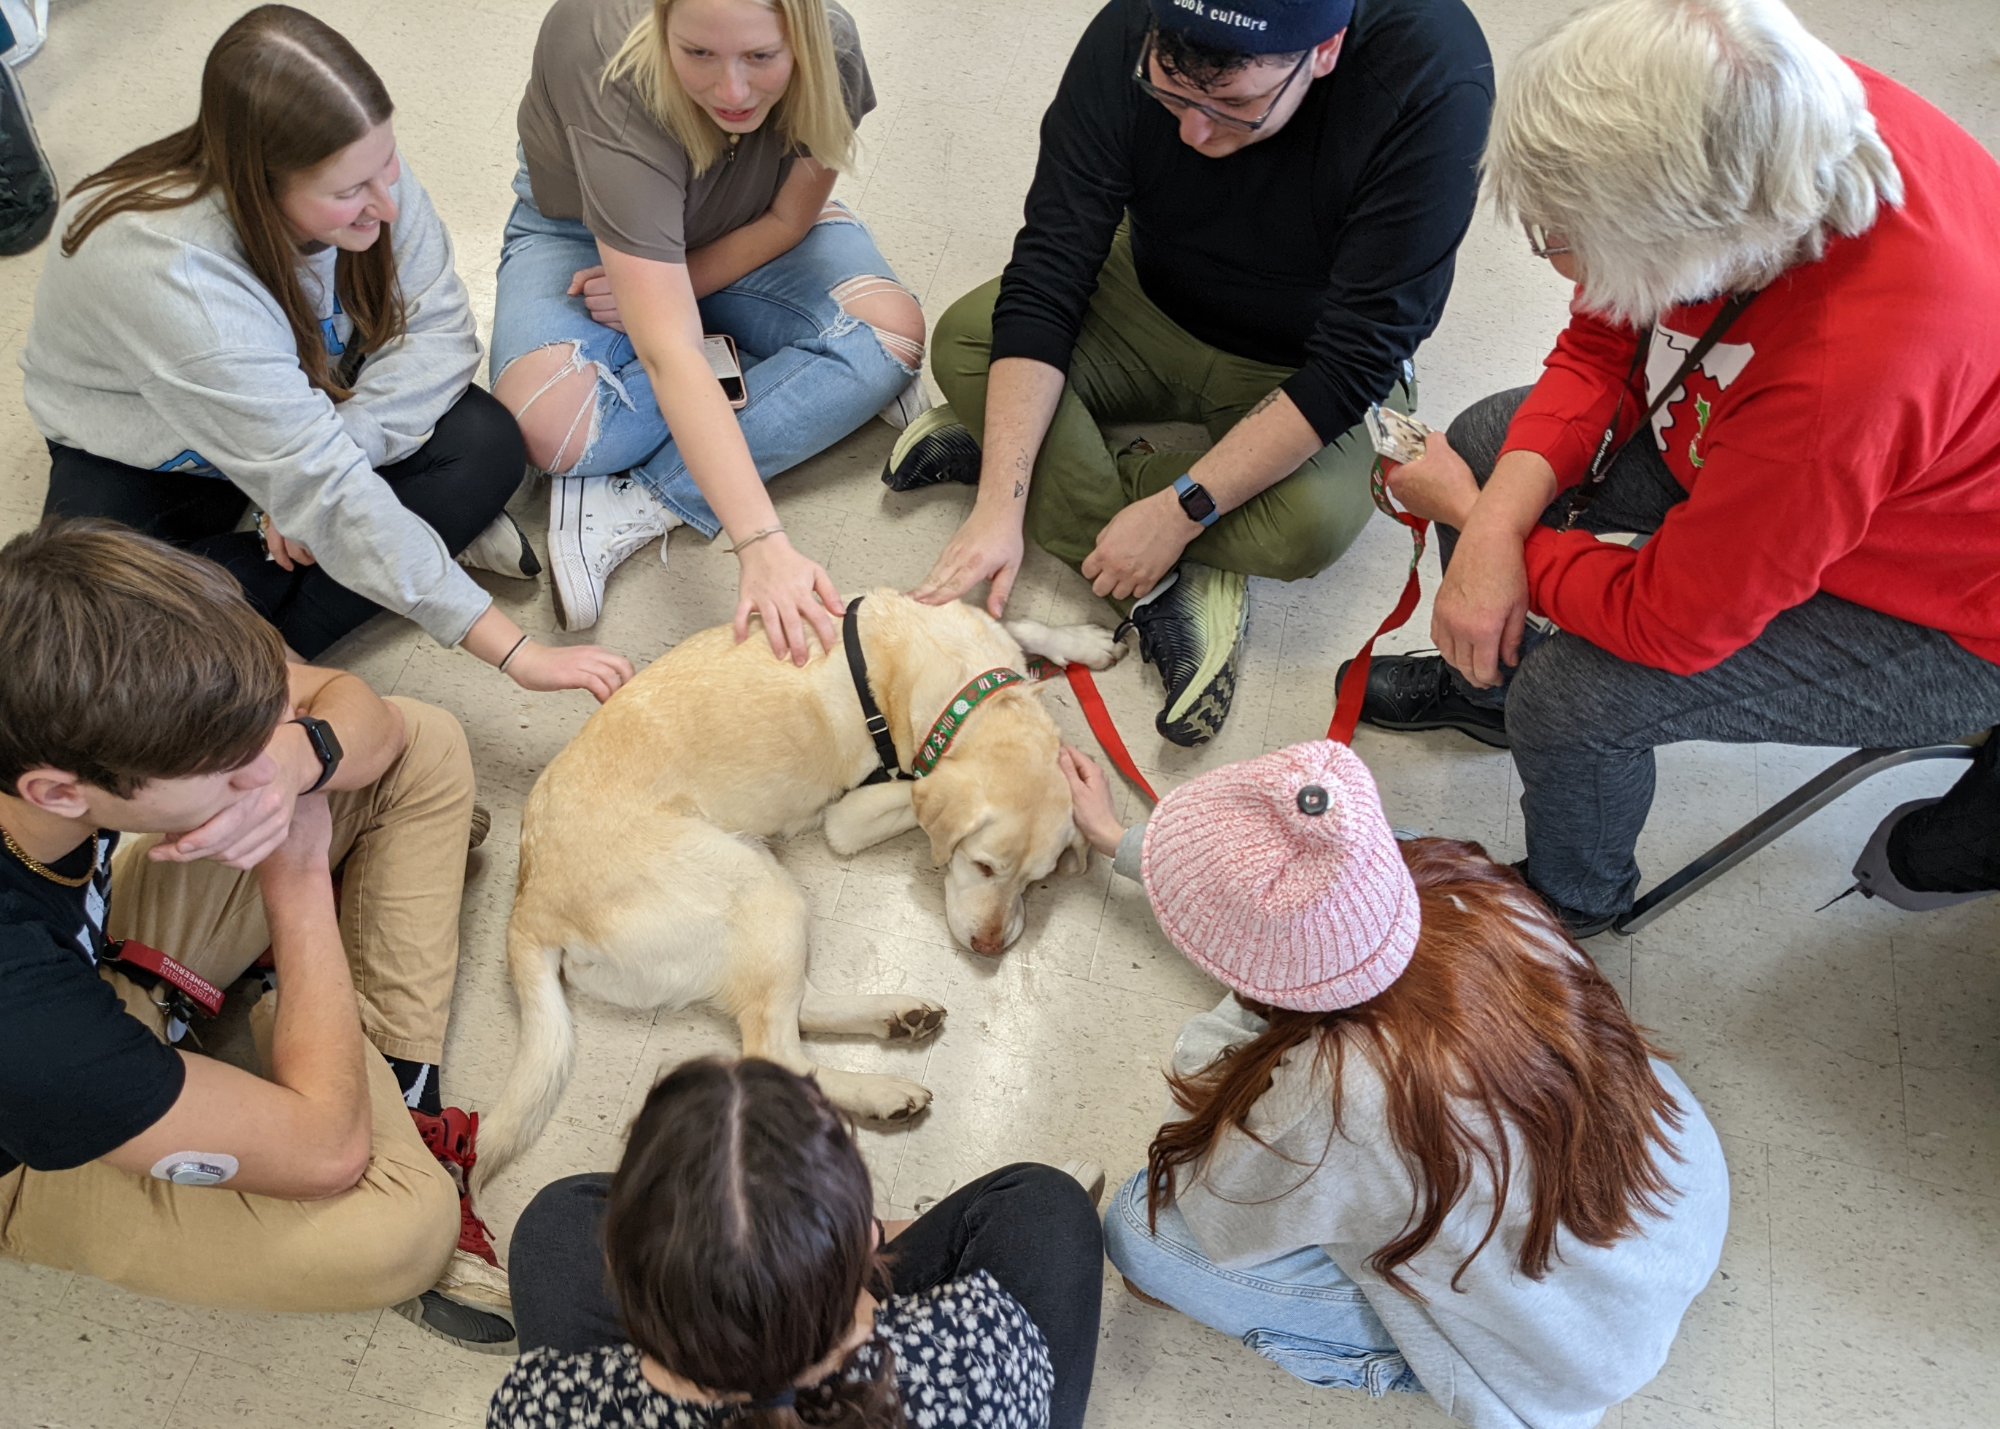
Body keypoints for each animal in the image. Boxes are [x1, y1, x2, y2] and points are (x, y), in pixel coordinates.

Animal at [472, 588, 1128, 1176]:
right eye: (983, 865)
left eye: (1038, 882)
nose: (990, 947)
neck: (960, 695)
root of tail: (528, 903)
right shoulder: (855, 816)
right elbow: (913, 790)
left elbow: (1016, 618)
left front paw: (1082, 642)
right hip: (757, 888)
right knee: (774, 1046)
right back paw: (881, 1093)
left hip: (757, 901)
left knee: (798, 1007)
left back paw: (897, 1016)